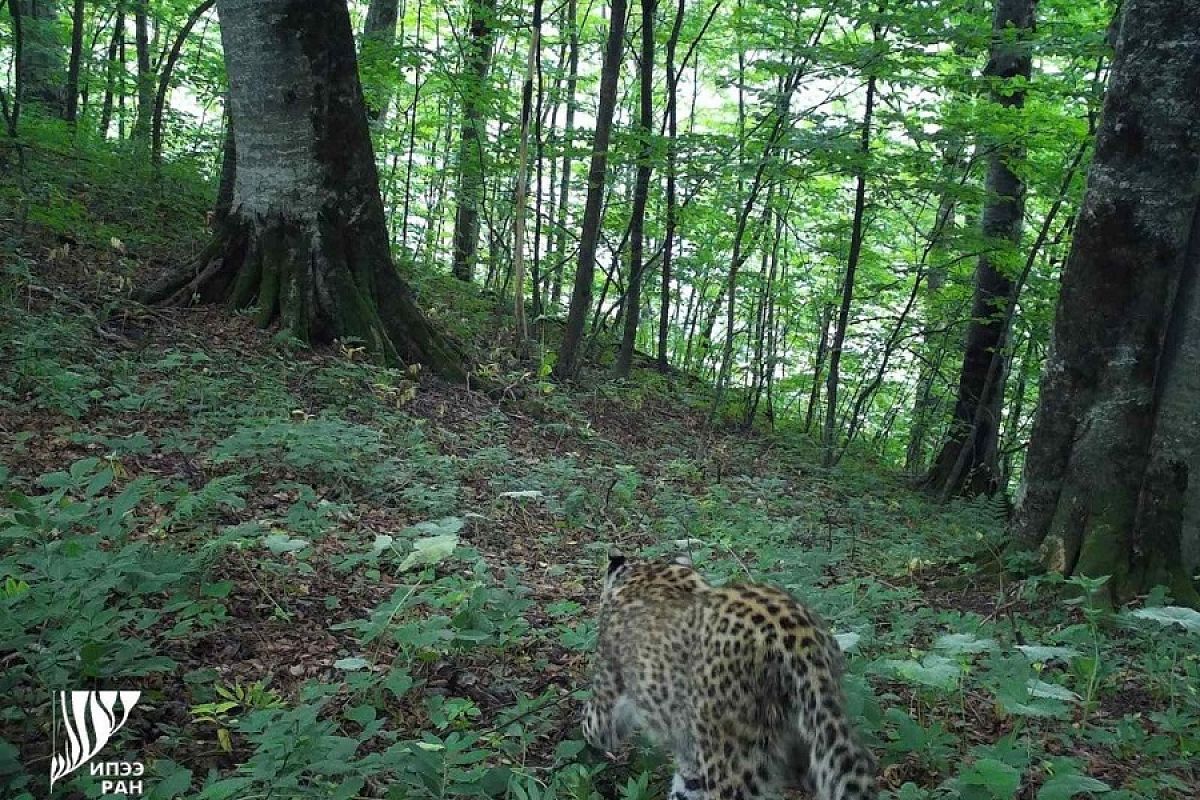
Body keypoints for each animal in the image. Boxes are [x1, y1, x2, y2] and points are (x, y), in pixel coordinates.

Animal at [578, 554, 873, 800]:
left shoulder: (605, 696)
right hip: (817, 734)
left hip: (732, 758)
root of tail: (798, 637)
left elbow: (593, 727)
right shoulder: (691, 759)